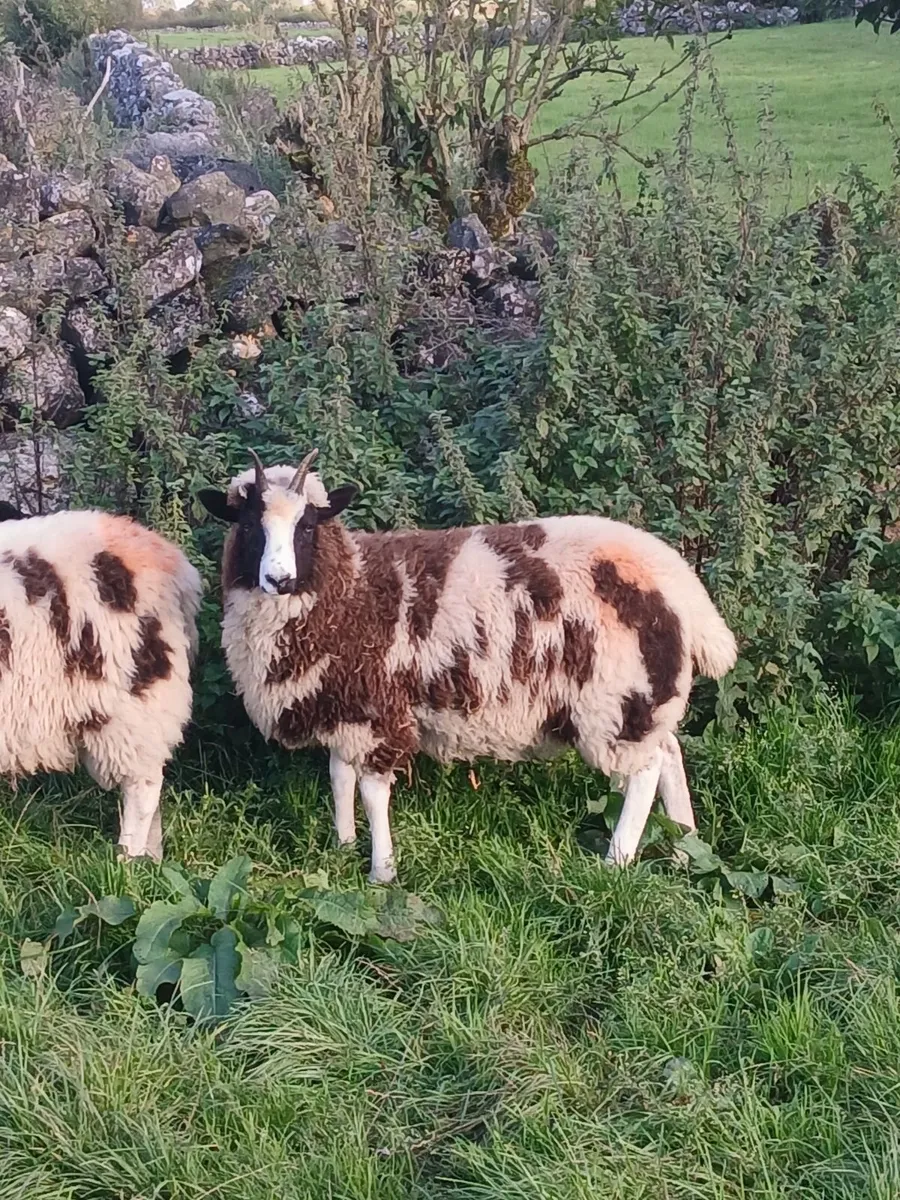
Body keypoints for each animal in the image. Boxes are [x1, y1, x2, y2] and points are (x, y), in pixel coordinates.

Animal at [200, 450, 737, 883]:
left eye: (307, 525)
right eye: (248, 525)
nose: (279, 579)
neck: (352, 587)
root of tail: (680, 581)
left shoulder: (379, 711)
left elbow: (372, 791)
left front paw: (381, 871)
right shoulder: (347, 703)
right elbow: (339, 777)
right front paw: (343, 845)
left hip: (615, 697)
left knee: (646, 771)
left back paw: (616, 861)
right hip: (643, 695)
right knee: (669, 753)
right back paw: (685, 848)